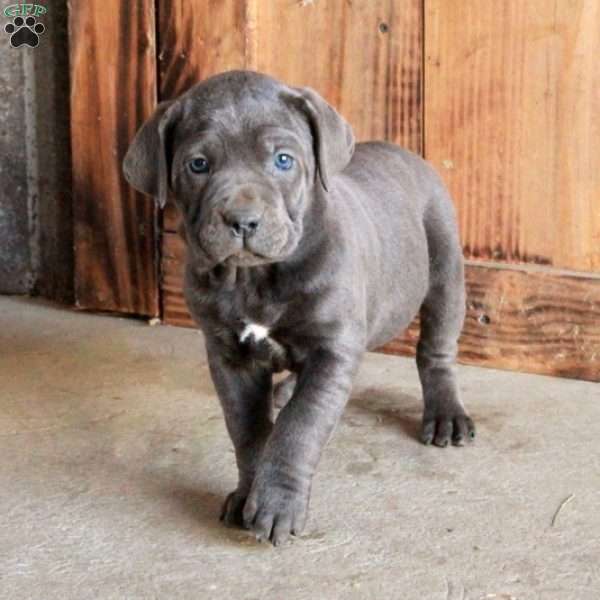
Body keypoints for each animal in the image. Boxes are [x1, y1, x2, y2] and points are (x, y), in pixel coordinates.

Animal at [124, 69, 476, 544]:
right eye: (197, 164)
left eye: (283, 160)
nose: (242, 221)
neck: (254, 279)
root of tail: (406, 152)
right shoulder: (229, 357)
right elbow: (248, 430)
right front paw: (247, 494)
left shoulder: (332, 350)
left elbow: (299, 427)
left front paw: (277, 504)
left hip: (444, 268)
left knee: (435, 351)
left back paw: (446, 415)